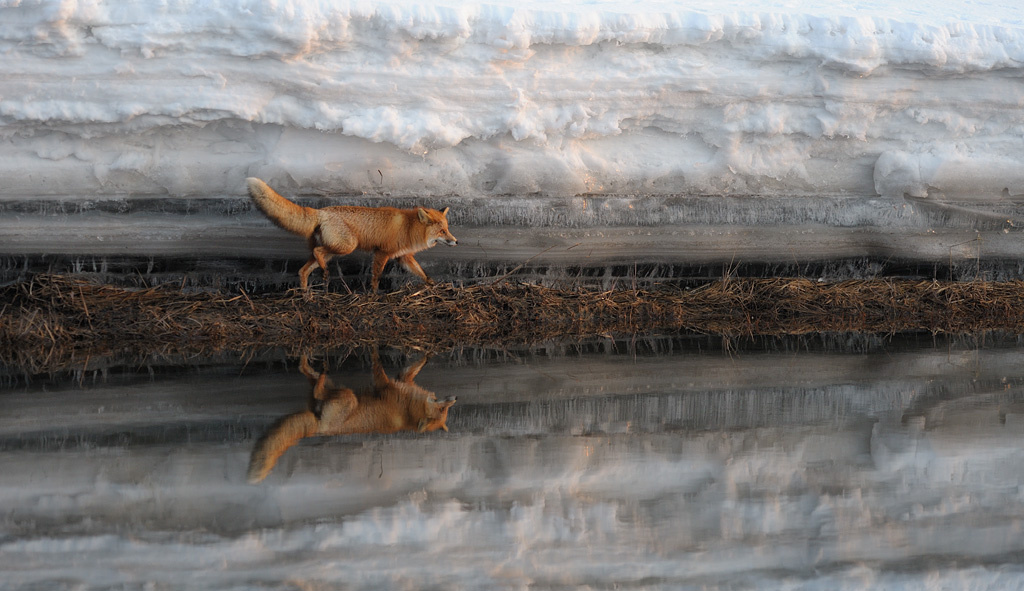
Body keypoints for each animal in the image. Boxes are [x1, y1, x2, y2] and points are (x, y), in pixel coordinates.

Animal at [243, 178, 456, 290]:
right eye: (443, 231)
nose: (456, 241)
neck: (408, 227)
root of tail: (322, 211)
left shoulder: (404, 257)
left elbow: (422, 272)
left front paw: (432, 283)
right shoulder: (382, 253)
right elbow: (376, 277)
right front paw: (374, 294)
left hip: (334, 249)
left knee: (303, 269)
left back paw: (306, 296)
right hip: (346, 246)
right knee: (318, 253)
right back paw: (324, 274)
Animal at [245, 350, 454, 483]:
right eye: (443, 409)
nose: (455, 398)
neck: (409, 410)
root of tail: (318, 429)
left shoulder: (385, 383)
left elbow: (377, 364)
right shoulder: (400, 379)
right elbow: (411, 367)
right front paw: (427, 354)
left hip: (347, 396)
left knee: (317, 389)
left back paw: (318, 370)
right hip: (336, 390)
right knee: (305, 373)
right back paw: (309, 362)